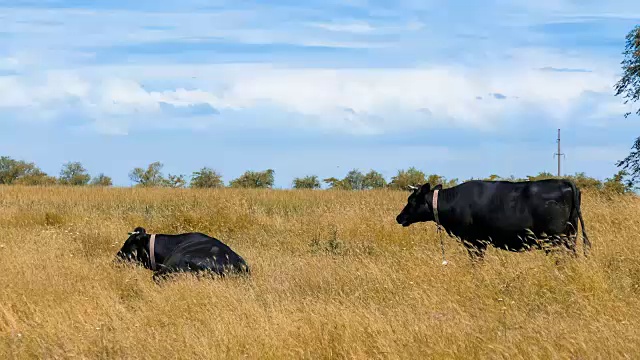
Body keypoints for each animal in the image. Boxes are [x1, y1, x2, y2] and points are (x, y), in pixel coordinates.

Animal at [396, 179, 592, 258]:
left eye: (411, 200)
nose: (399, 217)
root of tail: (564, 182)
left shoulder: (475, 242)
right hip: (570, 236)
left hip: (555, 239)